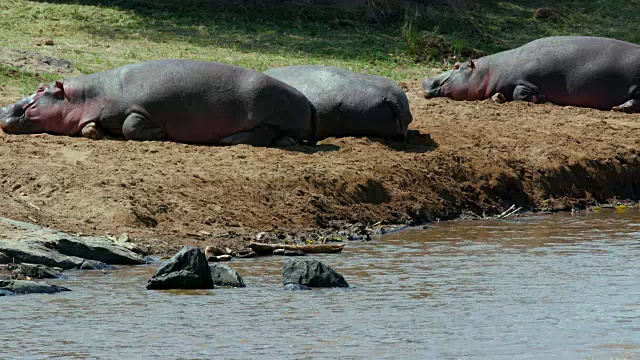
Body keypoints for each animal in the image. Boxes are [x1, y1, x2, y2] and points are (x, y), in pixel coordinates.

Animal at [0, 59, 318, 146]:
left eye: (40, 89)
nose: (3, 109)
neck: (86, 95)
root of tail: (308, 100)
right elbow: (91, 127)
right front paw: (95, 131)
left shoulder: (140, 109)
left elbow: (130, 126)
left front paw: (161, 133)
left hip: (269, 113)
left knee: (265, 134)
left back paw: (230, 139)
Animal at [422, 36, 640, 112]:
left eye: (456, 65)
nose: (426, 79)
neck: (490, 70)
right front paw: (498, 97)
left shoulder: (527, 80)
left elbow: (519, 92)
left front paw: (541, 98)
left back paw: (620, 107)